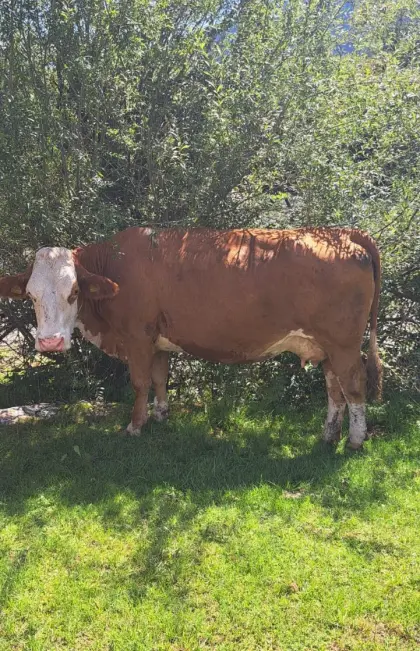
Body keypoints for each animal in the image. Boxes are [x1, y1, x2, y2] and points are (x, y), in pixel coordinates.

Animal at [0, 227, 382, 449]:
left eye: (74, 291)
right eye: (31, 295)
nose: (50, 342)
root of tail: (341, 233)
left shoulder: (137, 337)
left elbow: (140, 382)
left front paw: (135, 426)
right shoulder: (157, 342)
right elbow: (159, 379)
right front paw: (160, 416)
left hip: (344, 344)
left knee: (354, 385)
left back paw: (355, 440)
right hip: (326, 346)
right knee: (334, 389)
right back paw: (329, 434)